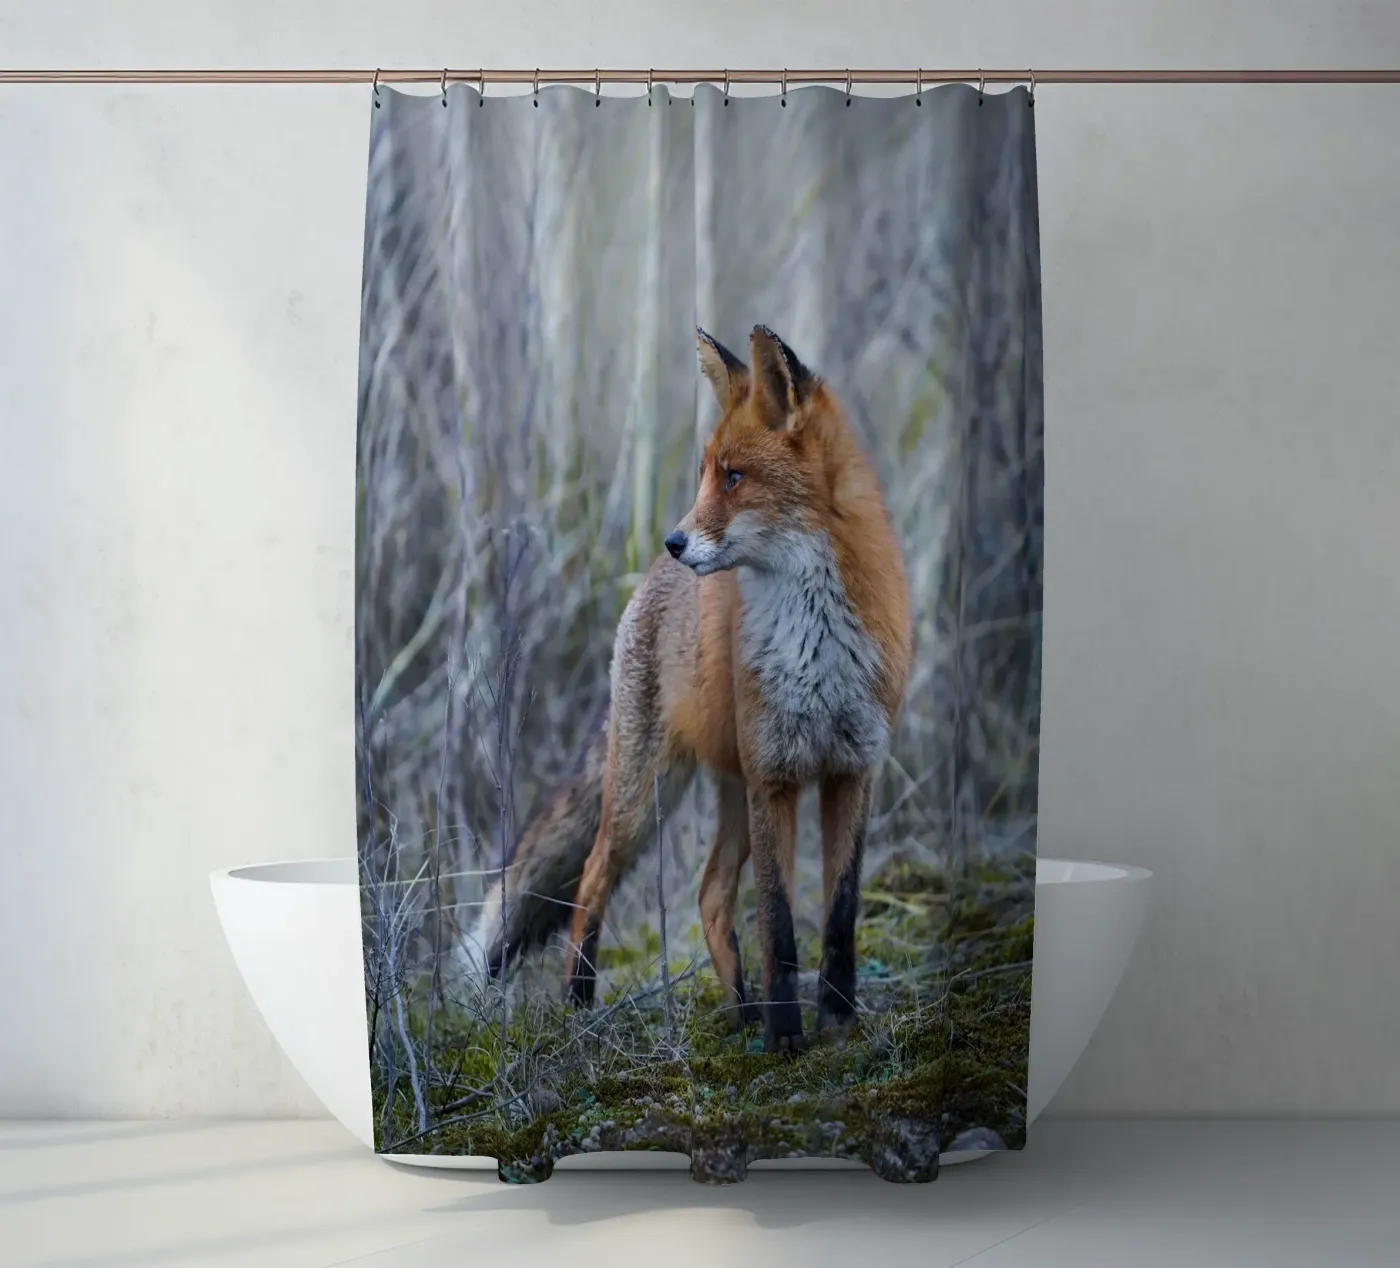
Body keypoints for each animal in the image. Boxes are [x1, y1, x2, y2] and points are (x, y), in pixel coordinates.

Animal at [456, 325, 912, 1054]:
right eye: (705, 473)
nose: (675, 540)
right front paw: (786, 1042)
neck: (815, 641)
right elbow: (779, 928)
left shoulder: (852, 768)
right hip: (649, 792)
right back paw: (579, 1007)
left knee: (709, 894)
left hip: (730, 791)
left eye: (734, 476)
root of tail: (647, 582)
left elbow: (839, 916)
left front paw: (837, 1026)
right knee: (591, 879)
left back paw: (740, 1012)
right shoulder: (775, 776)